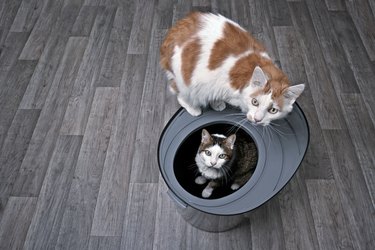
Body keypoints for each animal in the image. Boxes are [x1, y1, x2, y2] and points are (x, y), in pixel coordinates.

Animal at [159, 11, 306, 126]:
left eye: (273, 110)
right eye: (255, 102)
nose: (257, 120)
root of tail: (174, 30)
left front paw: (216, 103)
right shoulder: (212, 81)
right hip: (184, 80)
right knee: (178, 92)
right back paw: (193, 108)